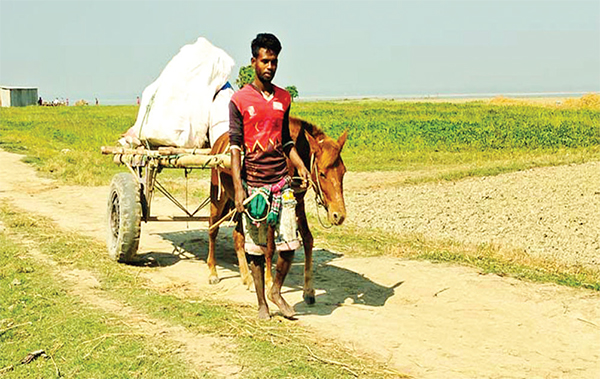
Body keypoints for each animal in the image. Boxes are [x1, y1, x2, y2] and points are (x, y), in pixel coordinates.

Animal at [209, 117, 346, 304]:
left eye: (343, 172)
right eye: (323, 174)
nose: (339, 215)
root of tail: (219, 141)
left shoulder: (297, 202)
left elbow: (308, 239)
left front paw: (309, 290)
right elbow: (270, 247)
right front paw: (269, 282)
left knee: (238, 236)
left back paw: (247, 277)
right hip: (218, 198)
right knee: (212, 230)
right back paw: (213, 272)